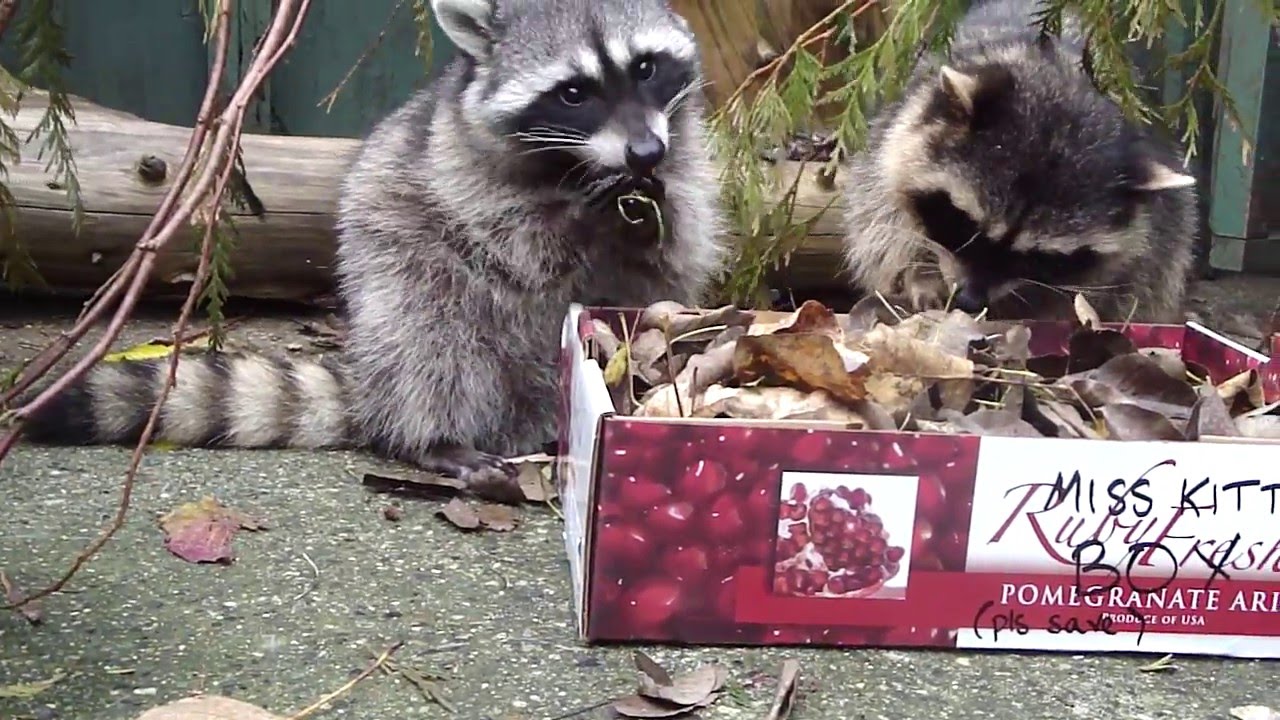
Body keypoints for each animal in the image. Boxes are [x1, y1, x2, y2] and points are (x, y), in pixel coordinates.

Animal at [19, 0, 725, 484]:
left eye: (645, 67)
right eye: (574, 92)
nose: (644, 153)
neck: (579, 165)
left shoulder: (686, 155)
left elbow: (685, 241)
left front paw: (652, 213)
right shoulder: (457, 170)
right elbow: (516, 241)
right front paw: (576, 216)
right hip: (401, 271)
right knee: (433, 343)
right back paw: (434, 438)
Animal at [840, 0, 1198, 323]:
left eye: (1036, 258)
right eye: (964, 223)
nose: (970, 301)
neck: (1062, 82)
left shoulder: (1153, 233)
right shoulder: (890, 141)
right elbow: (883, 223)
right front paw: (920, 275)